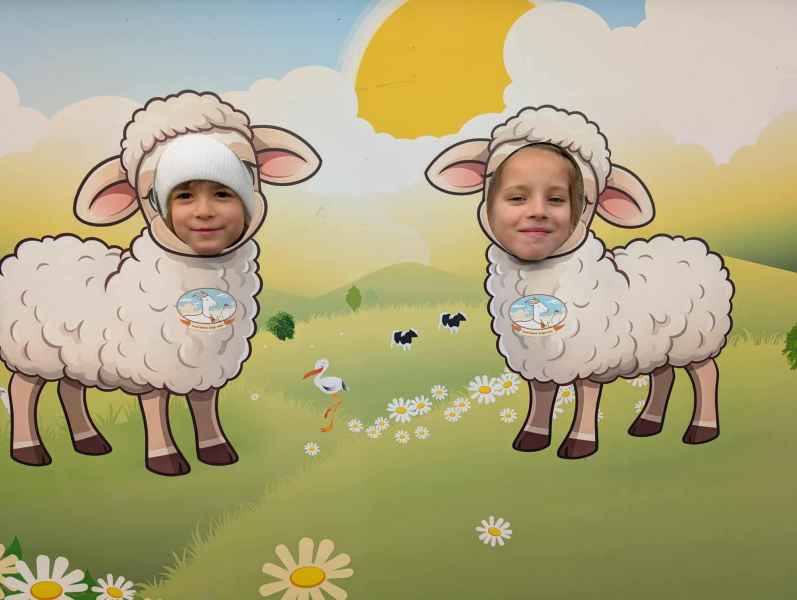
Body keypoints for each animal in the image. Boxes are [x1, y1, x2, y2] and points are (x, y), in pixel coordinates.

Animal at [0, 90, 321, 476]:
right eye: (153, 194)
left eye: (248, 168)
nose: (205, 215)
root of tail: (38, 246)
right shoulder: (151, 363)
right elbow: (155, 407)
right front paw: (165, 458)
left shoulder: (205, 361)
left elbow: (204, 403)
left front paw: (216, 450)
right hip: (32, 352)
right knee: (21, 389)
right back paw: (29, 450)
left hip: (71, 353)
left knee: (69, 390)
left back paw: (89, 441)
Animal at [424, 105, 734, 459]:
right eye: (515, 196)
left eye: (577, 199)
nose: (537, 216)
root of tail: (689, 244)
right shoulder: (539, 356)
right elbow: (542, 395)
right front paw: (532, 436)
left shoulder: (590, 355)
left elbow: (586, 396)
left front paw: (579, 443)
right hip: (659, 343)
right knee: (663, 375)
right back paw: (647, 423)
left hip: (698, 339)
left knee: (707, 374)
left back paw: (702, 429)